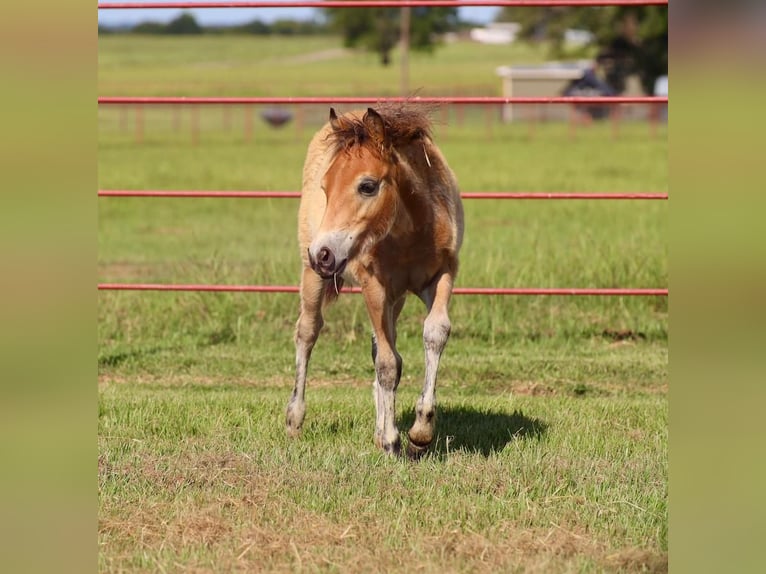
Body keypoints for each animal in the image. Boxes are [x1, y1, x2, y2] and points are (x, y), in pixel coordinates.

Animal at [286, 106, 462, 462]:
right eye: (325, 187)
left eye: (367, 186)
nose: (323, 254)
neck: (409, 232)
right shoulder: (375, 287)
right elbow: (387, 363)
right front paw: (394, 440)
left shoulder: (442, 275)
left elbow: (433, 334)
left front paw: (420, 431)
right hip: (313, 277)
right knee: (307, 332)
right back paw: (295, 419)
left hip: (397, 298)